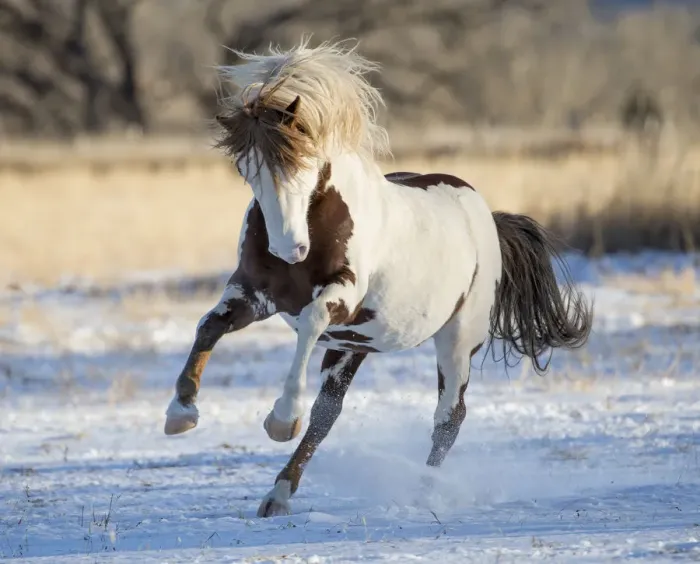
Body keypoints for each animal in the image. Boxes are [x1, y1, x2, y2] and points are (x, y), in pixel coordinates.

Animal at [163, 39, 593, 518]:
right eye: (244, 169)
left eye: (304, 161)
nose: (288, 249)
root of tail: (486, 216)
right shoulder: (254, 294)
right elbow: (209, 326)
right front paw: (181, 412)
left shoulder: (340, 299)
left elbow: (310, 323)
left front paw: (281, 419)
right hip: (352, 347)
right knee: (327, 415)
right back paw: (277, 496)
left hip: (457, 340)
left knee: (449, 418)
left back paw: (421, 494)